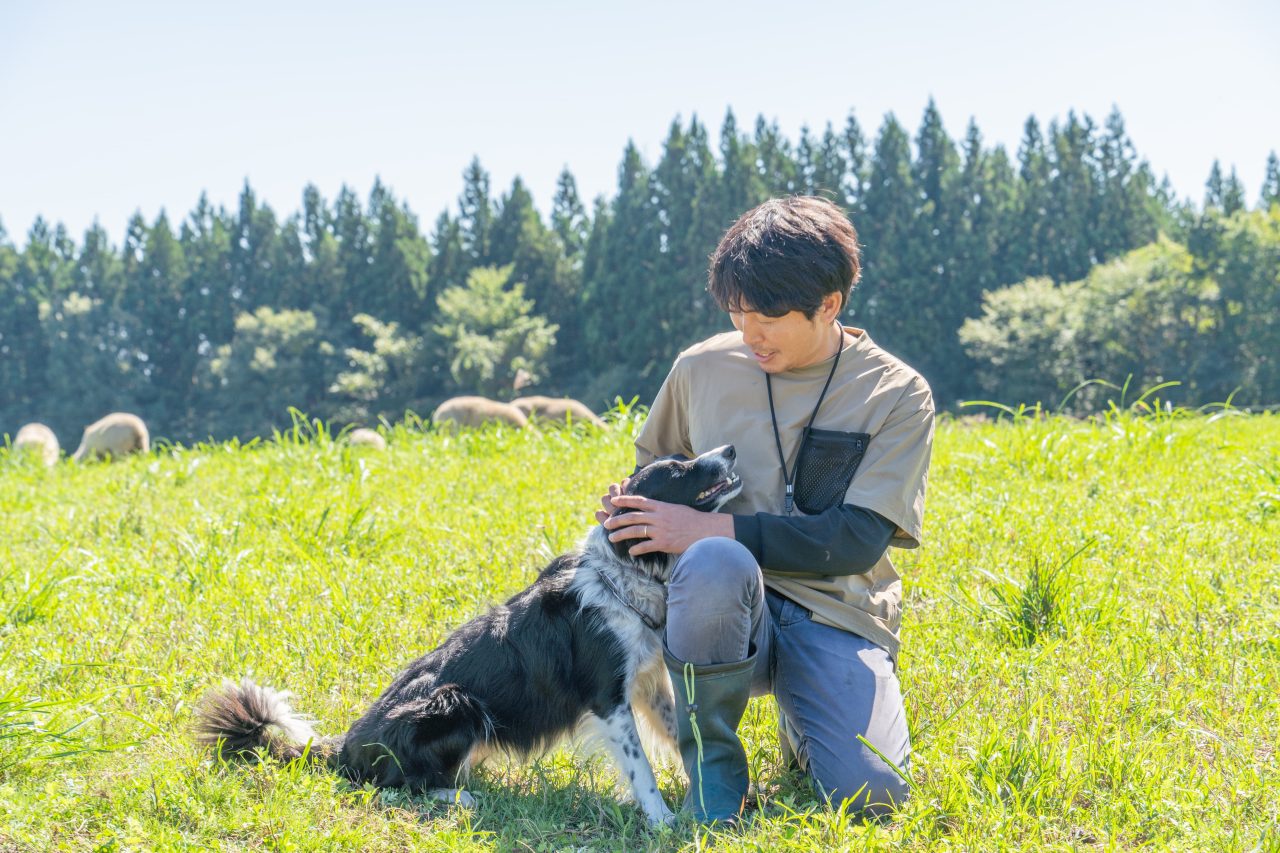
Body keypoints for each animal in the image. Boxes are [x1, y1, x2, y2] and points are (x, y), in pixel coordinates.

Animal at [194, 445, 747, 824]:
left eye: (685, 457)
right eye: (678, 471)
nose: (729, 450)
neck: (626, 572)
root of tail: (345, 748)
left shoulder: (648, 683)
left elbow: (680, 733)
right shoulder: (607, 699)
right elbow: (641, 768)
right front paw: (662, 821)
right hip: (453, 702)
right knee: (394, 785)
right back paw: (461, 795)